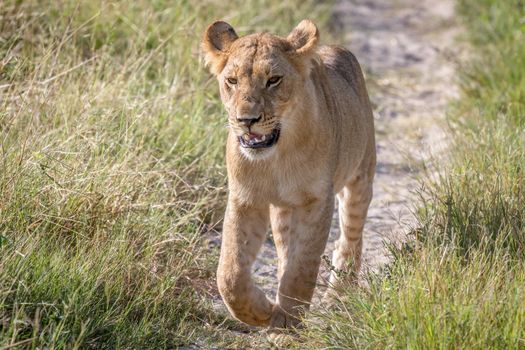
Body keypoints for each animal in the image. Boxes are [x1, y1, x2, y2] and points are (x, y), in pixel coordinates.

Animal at [202, 19, 376, 330]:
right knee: (285, 252)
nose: (246, 120)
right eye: (231, 81)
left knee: (350, 239)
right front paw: (263, 313)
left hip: (360, 178)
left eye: (273, 80)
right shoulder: (245, 199)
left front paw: (287, 323)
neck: (276, 157)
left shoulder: (317, 201)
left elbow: (301, 269)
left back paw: (338, 298)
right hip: (283, 209)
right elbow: (230, 274)